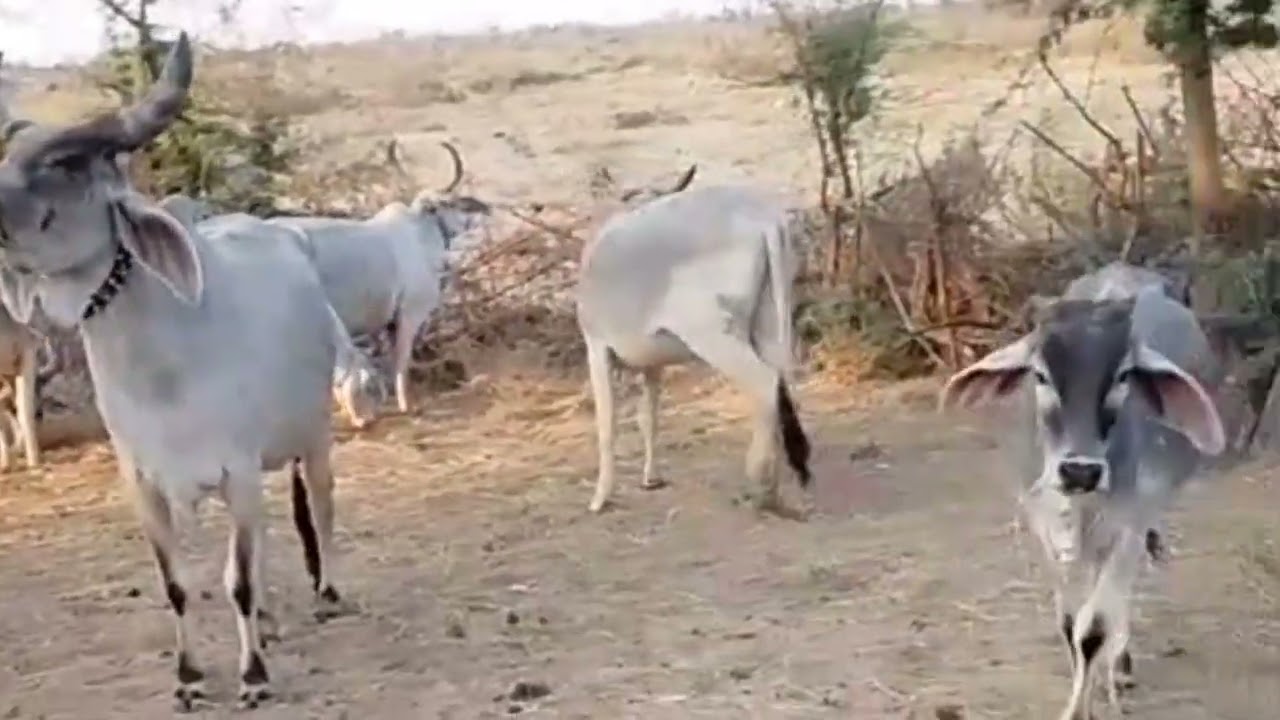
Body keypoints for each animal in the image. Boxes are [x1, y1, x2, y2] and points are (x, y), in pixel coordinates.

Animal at [940, 263, 1226, 720]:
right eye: (1039, 375)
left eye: (1124, 375)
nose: (1080, 470)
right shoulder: (1043, 526)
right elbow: (1071, 624)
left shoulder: (1131, 523)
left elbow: (1094, 629)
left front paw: (1085, 702)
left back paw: (1120, 664)